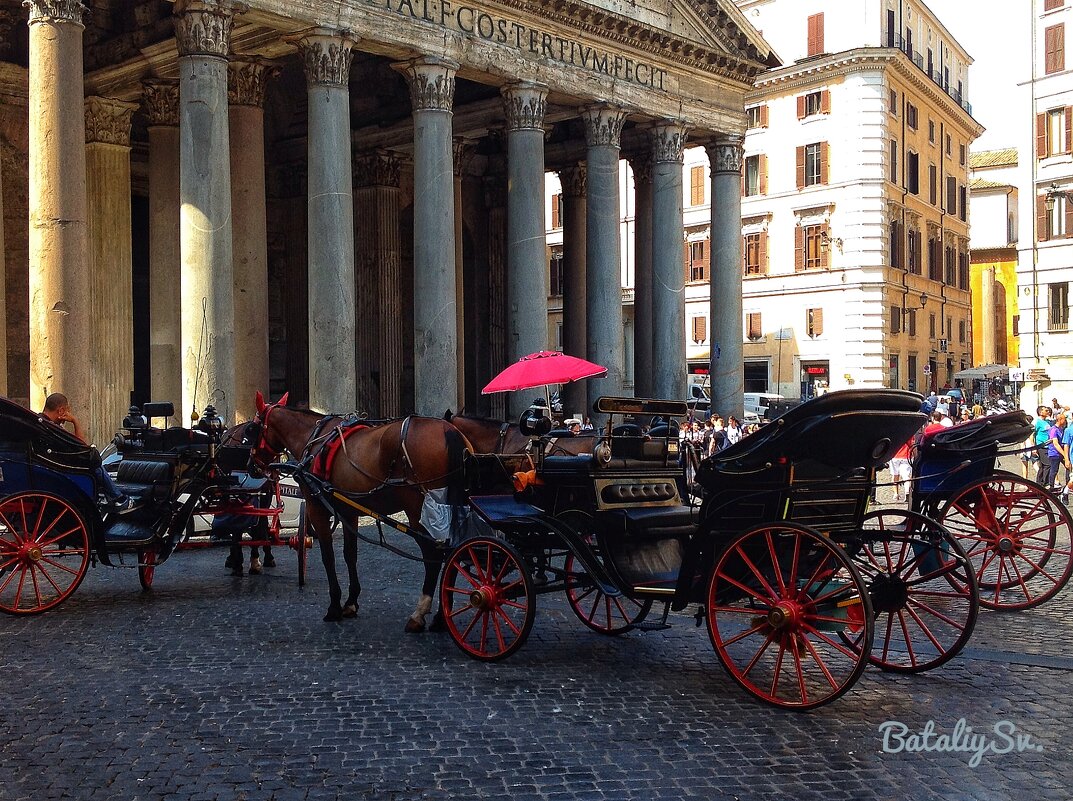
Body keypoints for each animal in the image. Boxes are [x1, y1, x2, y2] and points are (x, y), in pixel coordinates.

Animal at [253, 392, 472, 626]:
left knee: (434, 554)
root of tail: (448, 430)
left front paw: (334, 606)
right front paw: (351, 602)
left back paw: (420, 613)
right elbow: (350, 554)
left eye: (252, 428)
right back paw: (442, 615)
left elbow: (328, 556)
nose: (252, 464)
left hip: (418, 509)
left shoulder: (316, 508)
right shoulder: (349, 512)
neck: (314, 439)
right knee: (454, 552)